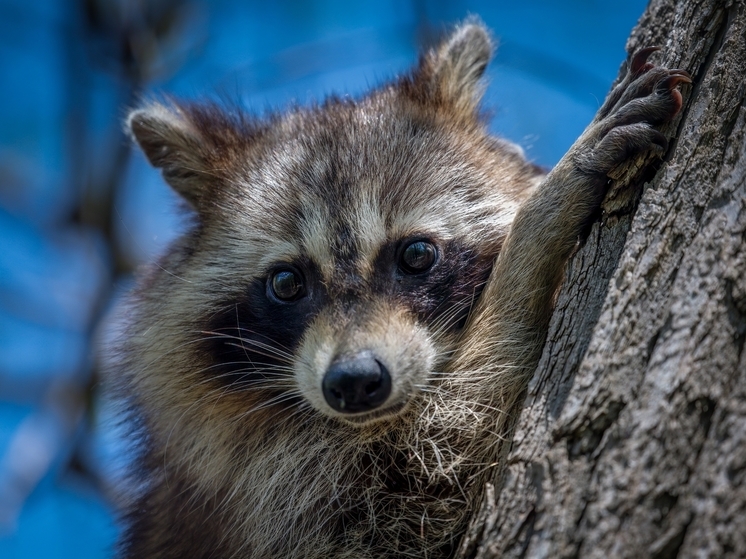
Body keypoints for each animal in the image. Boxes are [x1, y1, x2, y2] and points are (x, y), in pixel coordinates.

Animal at [112, 21, 692, 559]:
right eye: (286, 282)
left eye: (416, 255)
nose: (353, 382)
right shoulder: (276, 497)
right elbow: (434, 468)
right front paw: (539, 225)